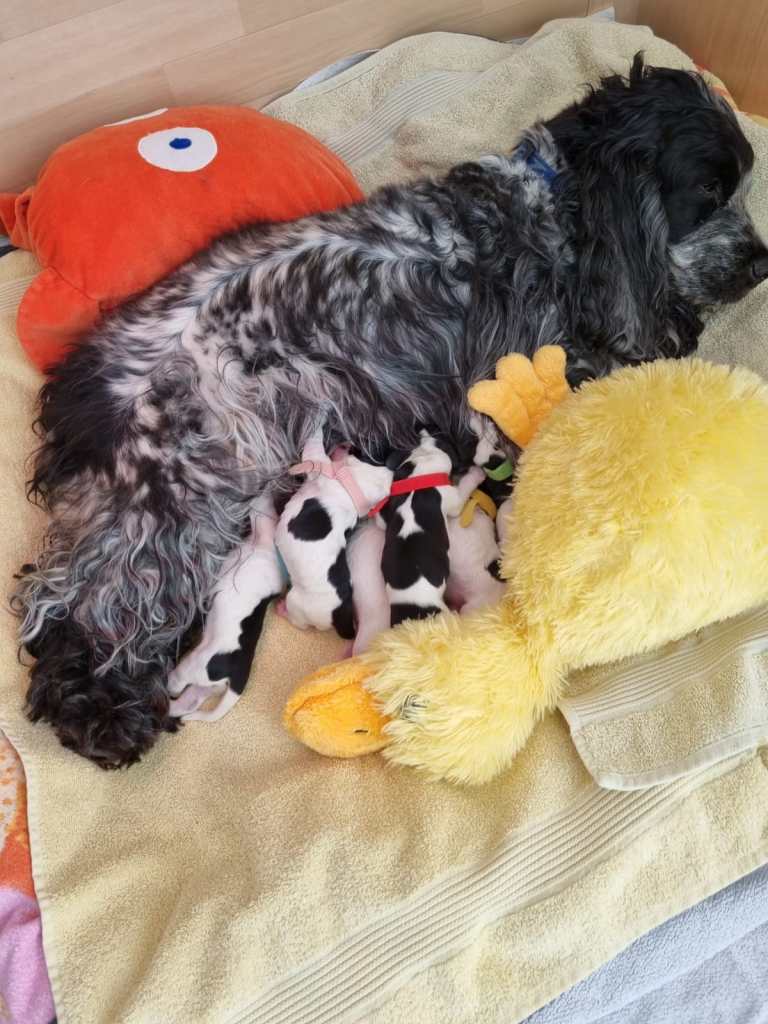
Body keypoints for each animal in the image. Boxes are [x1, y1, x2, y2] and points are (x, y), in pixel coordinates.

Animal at [16, 56, 768, 766]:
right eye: (709, 192)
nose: (762, 262)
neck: (556, 206)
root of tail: (78, 385)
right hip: (173, 493)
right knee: (80, 604)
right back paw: (101, 713)